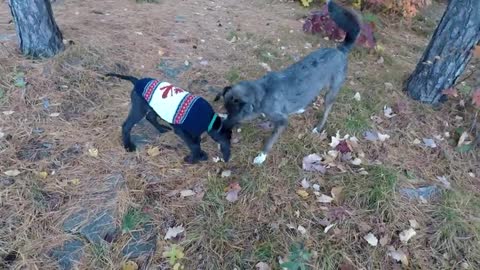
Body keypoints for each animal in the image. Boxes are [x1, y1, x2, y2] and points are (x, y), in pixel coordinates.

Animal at [217, 0, 360, 165]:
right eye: (227, 110)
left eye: (236, 115)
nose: (223, 127)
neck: (263, 92)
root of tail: (341, 50)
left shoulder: (282, 122)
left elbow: (270, 141)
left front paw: (262, 156)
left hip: (331, 92)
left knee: (326, 111)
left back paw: (318, 128)